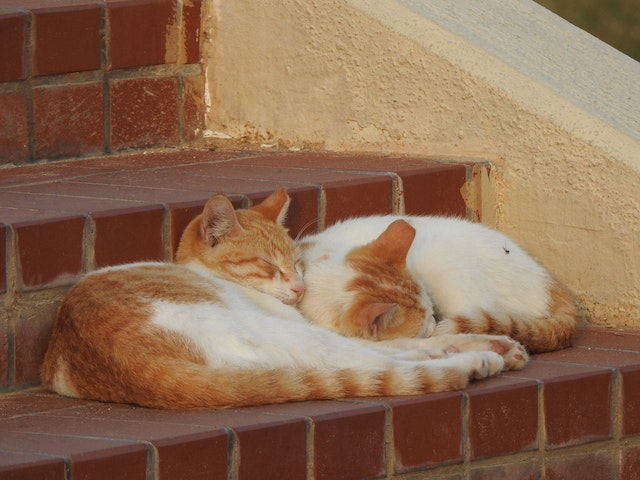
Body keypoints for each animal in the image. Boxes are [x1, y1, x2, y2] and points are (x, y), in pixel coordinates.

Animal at [42, 190, 528, 408]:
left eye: (297, 261)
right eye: (269, 265)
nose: (297, 287)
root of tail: (140, 371)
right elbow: (408, 344)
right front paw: (467, 346)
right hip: (266, 332)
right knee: (372, 363)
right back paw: (479, 360)